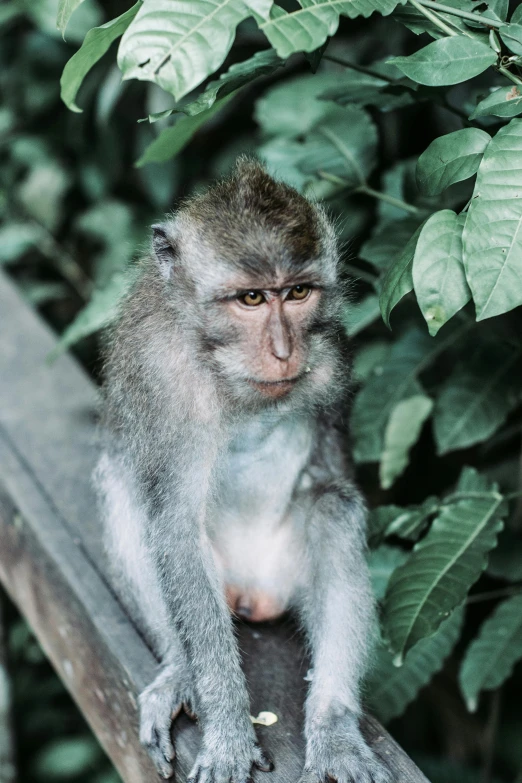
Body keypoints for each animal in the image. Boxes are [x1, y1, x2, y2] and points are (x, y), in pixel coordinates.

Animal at [96, 159, 390, 783]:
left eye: (297, 292)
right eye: (251, 298)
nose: (283, 351)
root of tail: (253, 593)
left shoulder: (332, 352)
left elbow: (333, 470)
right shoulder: (164, 374)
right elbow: (176, 527)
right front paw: (229, 728)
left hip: (282, 572)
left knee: (334, 507)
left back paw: (333, 726)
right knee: (126, 484)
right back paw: (180, 669)